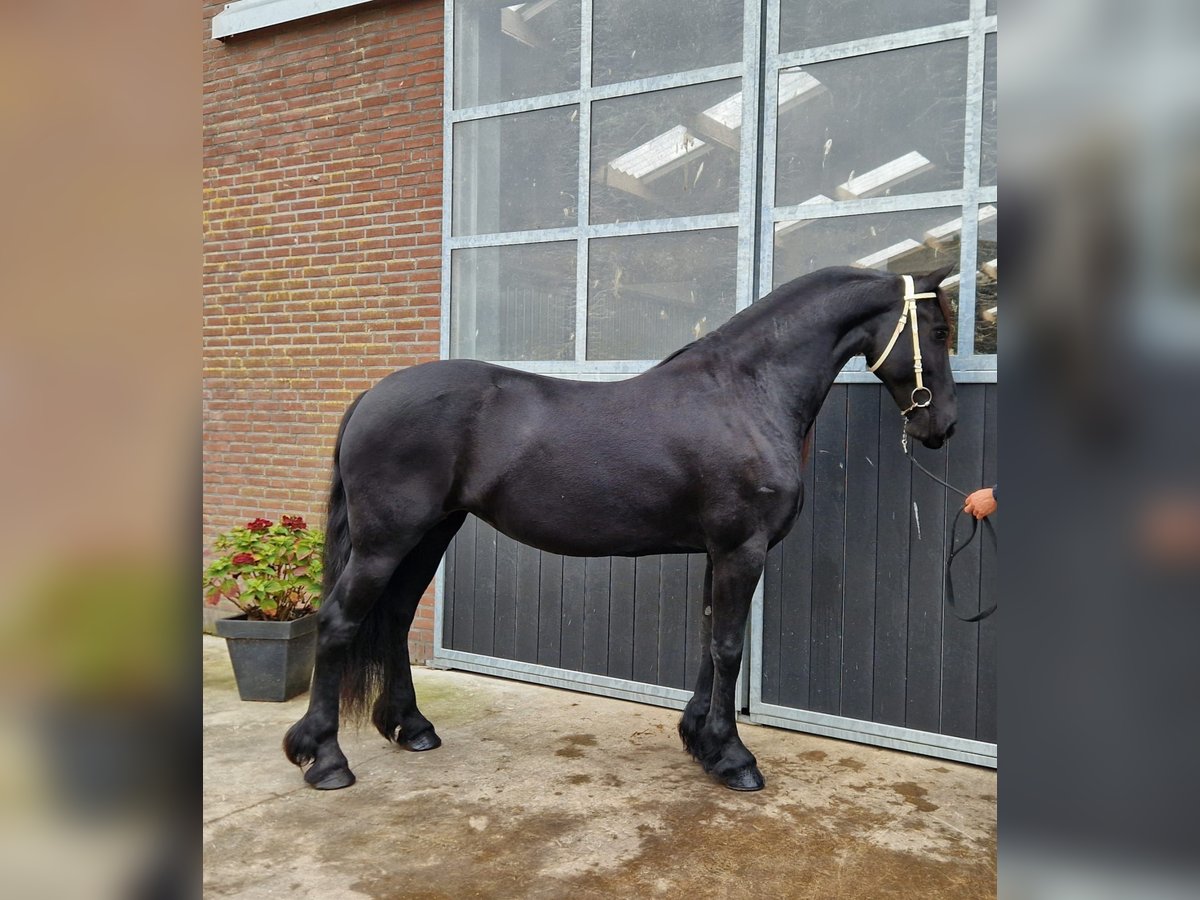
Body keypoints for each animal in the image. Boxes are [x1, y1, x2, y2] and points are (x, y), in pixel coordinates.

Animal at [284, 264, 958, 792]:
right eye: (941, 331)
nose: (942, 427)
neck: (746, 395)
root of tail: (372, 395)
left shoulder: (719, 550)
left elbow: (710, 640)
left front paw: (700, 741)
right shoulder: (742, 549)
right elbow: (730, 647)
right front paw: (734, 758)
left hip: (430, 534)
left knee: (396, 617)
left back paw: (412, 728)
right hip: (387, 541)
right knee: (339, 622)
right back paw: (325, 759)